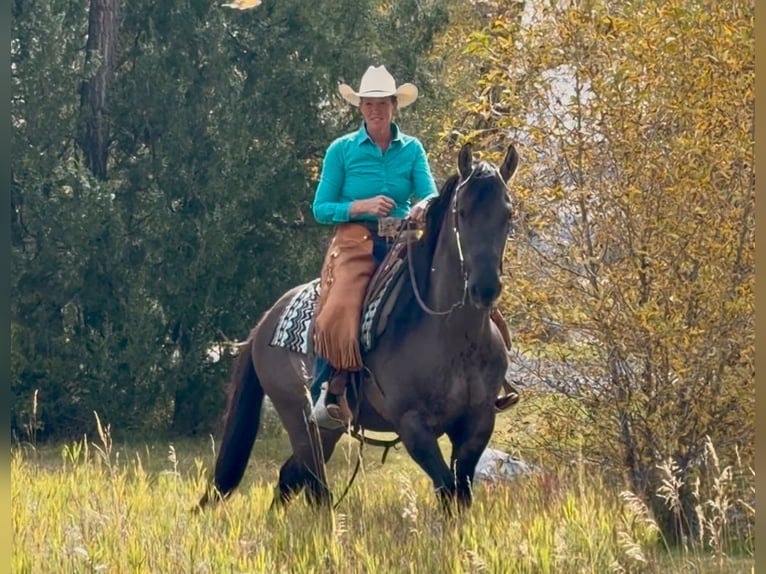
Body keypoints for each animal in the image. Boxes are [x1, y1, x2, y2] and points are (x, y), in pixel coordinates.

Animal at [197, 142, 519, 511]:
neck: (454, 339)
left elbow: (460, 493)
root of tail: (265, 322)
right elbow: (446, 489)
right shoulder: (413, 426)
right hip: (299, 419)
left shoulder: (478, 423)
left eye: (508, 214)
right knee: (312, 482)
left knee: (291, 477)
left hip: (327, 430)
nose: (485, 288)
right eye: (462, 212)